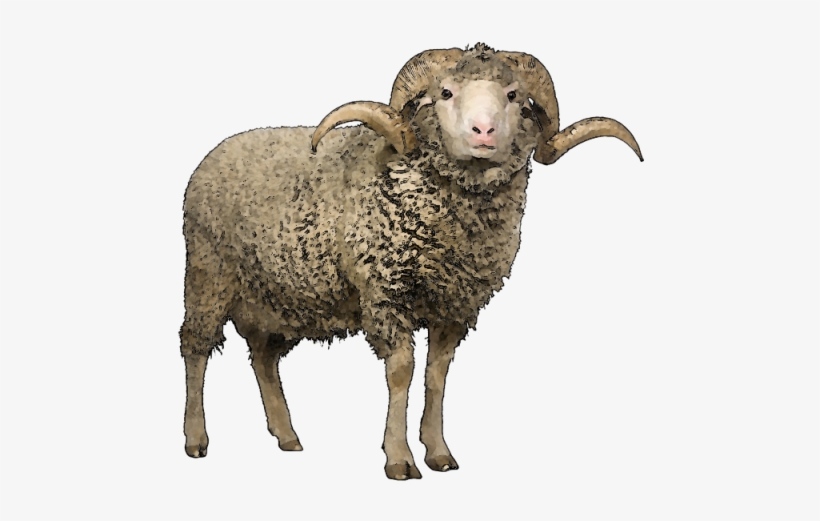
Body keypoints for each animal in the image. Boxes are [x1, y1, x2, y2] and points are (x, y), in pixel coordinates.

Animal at [180, 43, 643, 480]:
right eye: (446, 92)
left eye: (513, 95)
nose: (484, 131)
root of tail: (216, 153)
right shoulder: (385, 293)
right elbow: (402, 371)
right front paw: (399, 459)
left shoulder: (454, 306)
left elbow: (437, 376)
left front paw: (438, 452)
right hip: (208, 276)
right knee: (195, 348)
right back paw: (196, 438)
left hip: (277, 297)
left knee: (263, 356)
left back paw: (287, 435)